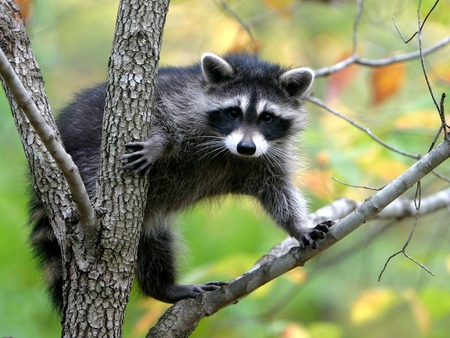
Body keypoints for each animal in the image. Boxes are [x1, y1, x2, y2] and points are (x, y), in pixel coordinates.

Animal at [29, 52, 330, 308]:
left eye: (267, 117)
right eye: (233, 112)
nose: (246, 147)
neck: (229, 150)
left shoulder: (267, 157)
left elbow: (278, 192)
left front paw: (299, 226)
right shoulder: (180, 98)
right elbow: (160, 113)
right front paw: (159, 143)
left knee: (154, 242)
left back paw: (162, 287)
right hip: (87, 160)